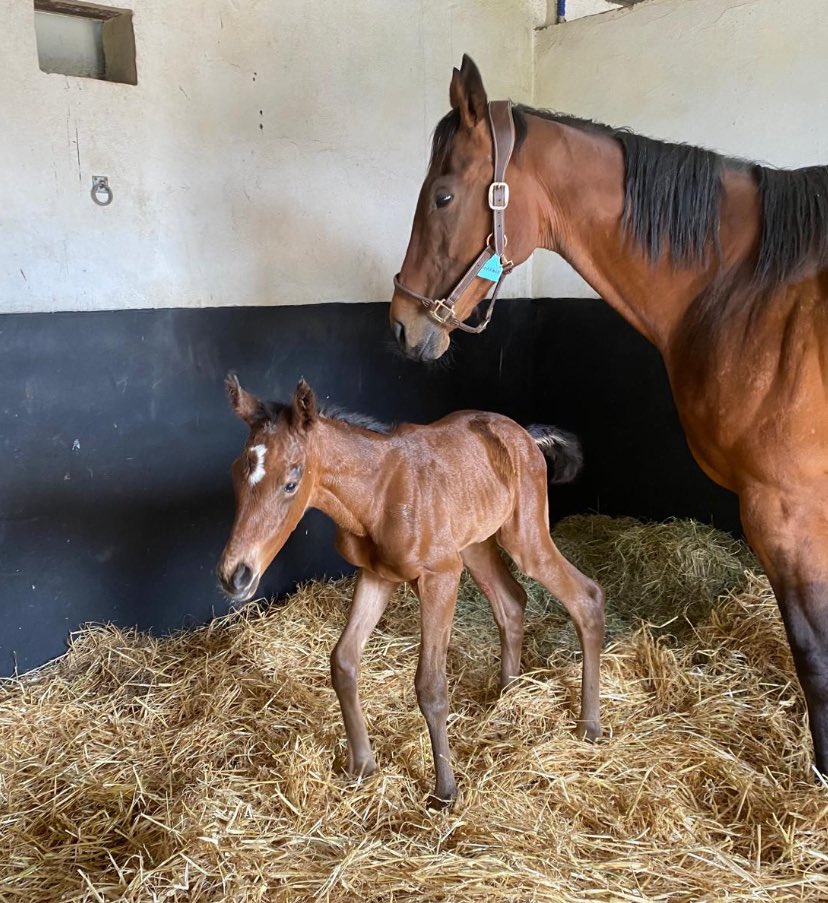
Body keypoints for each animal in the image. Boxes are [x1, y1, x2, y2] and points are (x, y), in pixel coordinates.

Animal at [215, 374, 600, 804]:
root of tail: (525, 435)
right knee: (511, 601)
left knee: (585, 597)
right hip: (475, 545)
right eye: (236, 473)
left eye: (291, 482)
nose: (236, 576)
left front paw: (445, 791)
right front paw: (362, 766)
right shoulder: (376, 575)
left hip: (524, 537)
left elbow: (430, 686)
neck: (379, 493)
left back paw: (589, 725)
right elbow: (343, 662)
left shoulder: (440, 576)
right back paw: (508, 696)